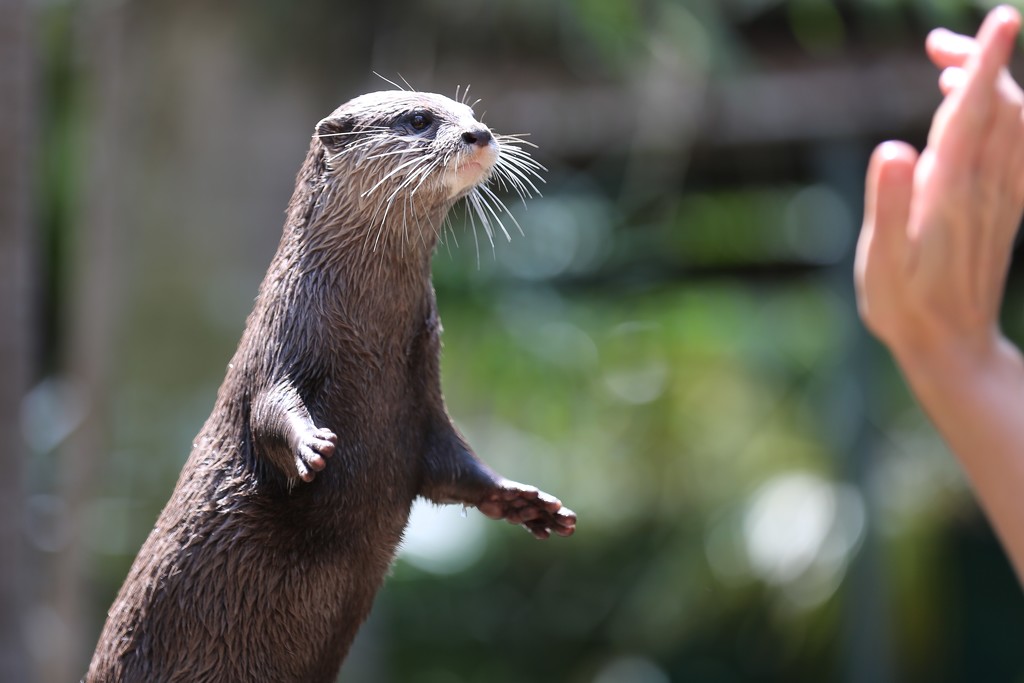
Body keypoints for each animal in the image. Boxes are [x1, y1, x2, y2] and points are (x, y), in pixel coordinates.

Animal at [86, 92, 577, 683]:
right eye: (419, 120)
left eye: (469, 112)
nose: (479, 134)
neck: (368, 335)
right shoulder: (280, 335)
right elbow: (267, 407)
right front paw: (310, 446)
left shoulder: (424, 388)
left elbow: (452, 462)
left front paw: (523, 501)